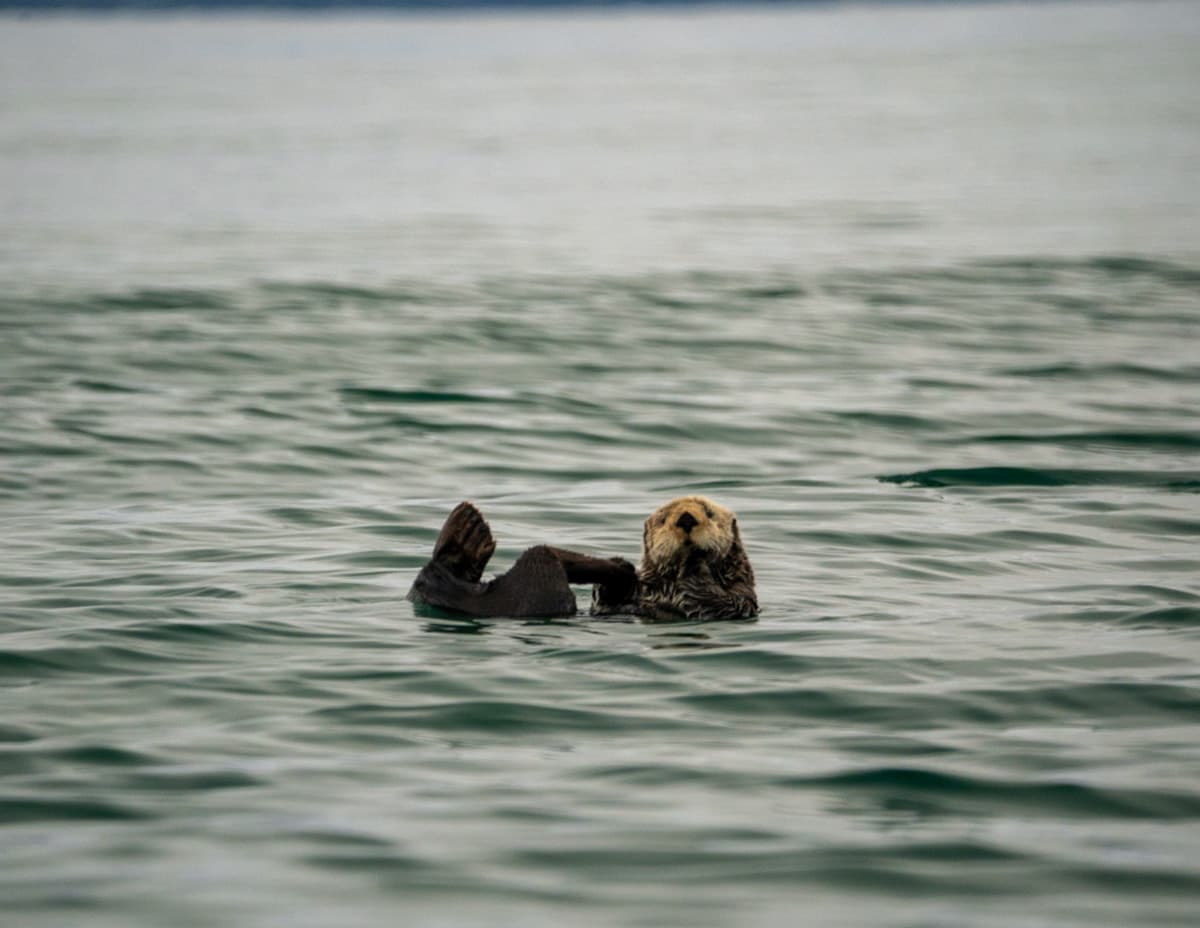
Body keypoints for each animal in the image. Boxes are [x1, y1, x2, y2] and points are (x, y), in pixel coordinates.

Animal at [408, 496, 757, 622]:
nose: (685, 519)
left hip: (536, 587)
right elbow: (612, 597)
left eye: (709, 513)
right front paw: (624, 573)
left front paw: (696, 561)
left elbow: (712, 599)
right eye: (663, 518)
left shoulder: (738, 599)